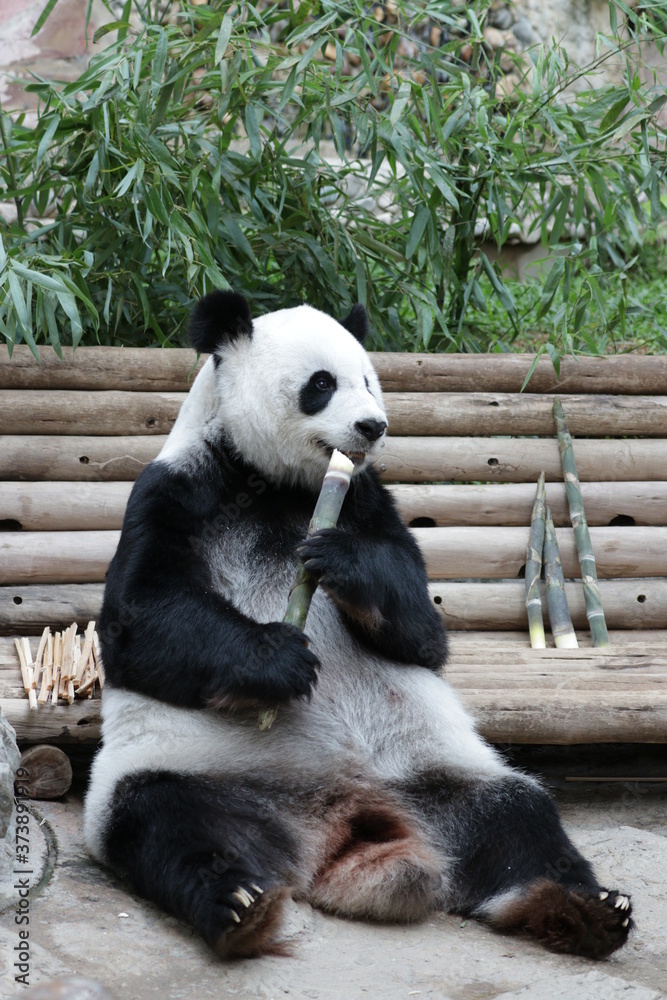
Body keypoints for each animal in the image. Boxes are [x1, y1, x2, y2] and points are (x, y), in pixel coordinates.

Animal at [84, 291, 633, 960]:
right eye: (321, 384)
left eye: (369, 380)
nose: (373, 426)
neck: (283, 486)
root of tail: (344, 818)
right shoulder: (176, 490)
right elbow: (138, 621)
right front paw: (279, 660)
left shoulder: (368, 499)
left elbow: (423, 632)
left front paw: (344, 563)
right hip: (197, 771)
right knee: (169, 823)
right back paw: (240, 904)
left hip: (431, 777)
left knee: (519, 818)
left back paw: (583, 909)